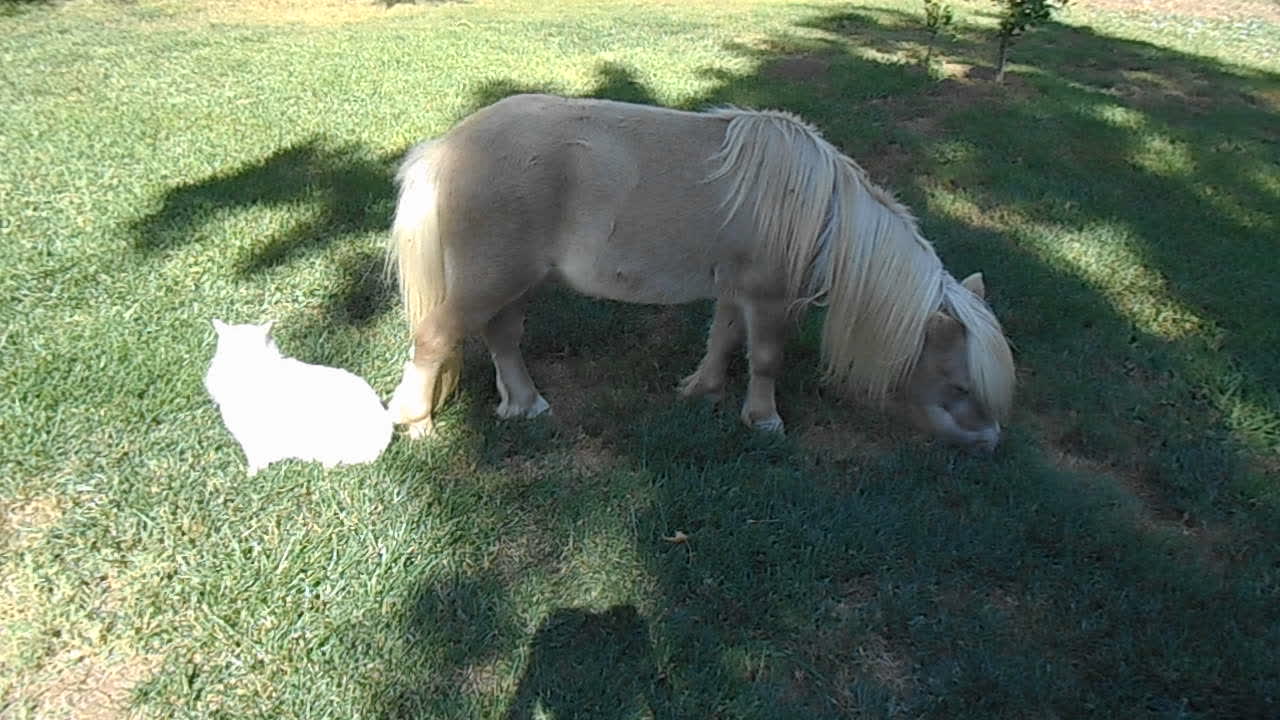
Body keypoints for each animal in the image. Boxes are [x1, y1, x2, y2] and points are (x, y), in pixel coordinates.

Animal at [384, 92, 1013, 450]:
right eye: (960, 384)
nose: (990, 443)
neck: (816, 211)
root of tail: (446, 146)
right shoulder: (769, 298)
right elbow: (765, 358)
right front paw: (763, 421)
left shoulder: (737, 291)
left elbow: (724, 338)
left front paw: (702, 390)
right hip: (489, 278)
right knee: (436, 337)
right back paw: (417, 424)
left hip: (514, 281)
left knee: (502, 336)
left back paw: (525, 405)